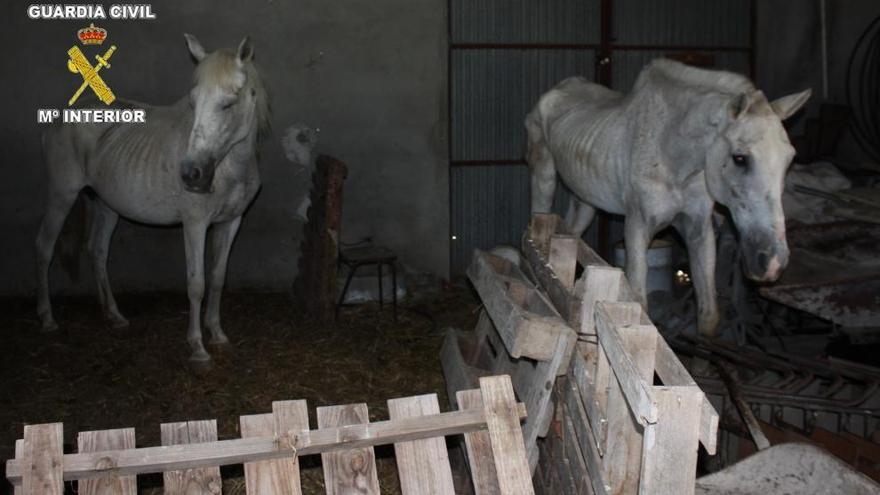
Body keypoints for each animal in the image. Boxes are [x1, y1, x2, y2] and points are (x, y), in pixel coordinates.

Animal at [37, 34, 272, 360]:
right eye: (193, 102)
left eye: (229, 103)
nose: (191, 174)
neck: (228, 168)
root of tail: (62, 115)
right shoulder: (195, 224)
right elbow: (196, 284)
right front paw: (197, 347)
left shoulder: (232, 222)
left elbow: (217, 278)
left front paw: (218, 335)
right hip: (62, 194)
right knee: (44, 247)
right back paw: (47, 319)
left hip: (106, 204)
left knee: (97, 250)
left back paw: (114, 316)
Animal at [528, 58, 812, 338]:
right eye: (740, 158)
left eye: (790, 159)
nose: (772, 263)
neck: (672, 154)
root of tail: (559, 89)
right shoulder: (638, 227)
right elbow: (640, 304)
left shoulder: (698, 229)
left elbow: (708, 316)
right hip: (544, 178)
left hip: (585, 200)